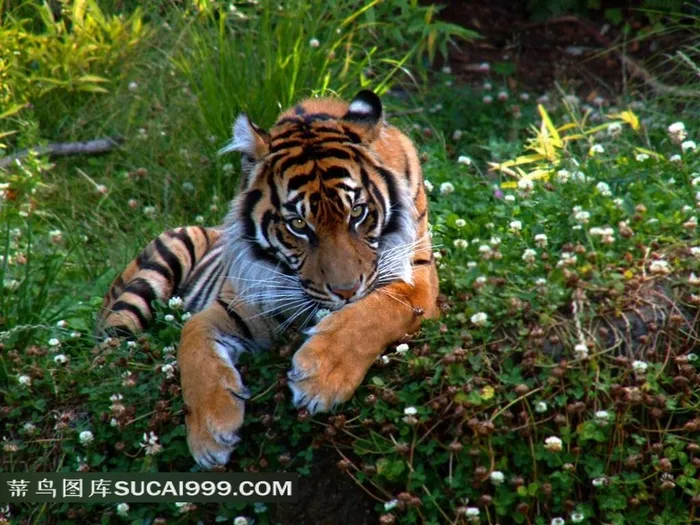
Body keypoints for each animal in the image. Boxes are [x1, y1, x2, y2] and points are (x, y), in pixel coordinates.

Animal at [98, 90, 439, 469]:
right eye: (299, 225)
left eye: (357, 212)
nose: (347, 291)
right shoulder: (243, 304)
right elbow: (192, 338)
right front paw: (209, 431)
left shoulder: (417, 279)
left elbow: (374, 314)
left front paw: (320, 378)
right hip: (158, 265)